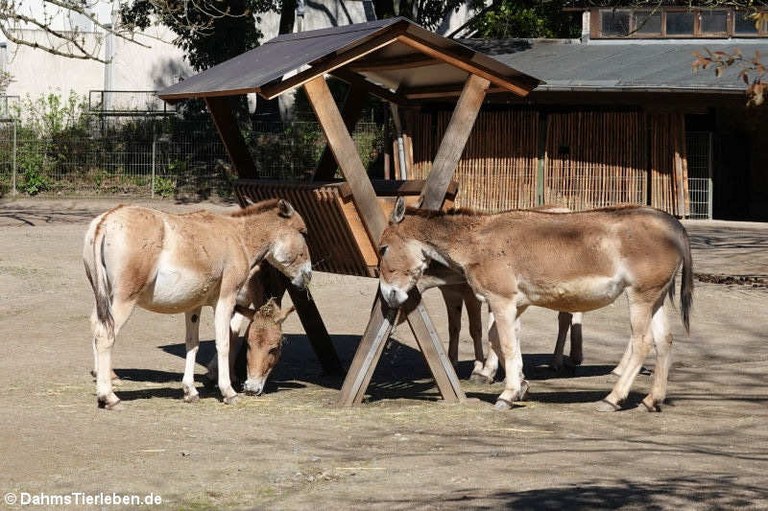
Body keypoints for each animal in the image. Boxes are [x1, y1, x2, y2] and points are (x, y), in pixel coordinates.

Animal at [82, 200, 310, 412]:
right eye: (303, 232)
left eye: (274, 347)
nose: (307, 275)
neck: (238, 238)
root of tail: (106, 220)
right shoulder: (227, 299)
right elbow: (225, 342)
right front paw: (228, 392)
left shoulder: (194, 305)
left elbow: (192, 344)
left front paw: (190, 391)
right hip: (124, 300)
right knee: (105, 336)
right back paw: (109, 396)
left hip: (104, 297)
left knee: (95, 326)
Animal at [380, 198, 692, 414]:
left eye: (382, 248)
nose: (388, 296)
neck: (477, 242)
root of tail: (672, 223)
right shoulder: (514, 303)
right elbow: (500, 340)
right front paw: (520, 386)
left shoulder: (501, 300)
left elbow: (505, 343)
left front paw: (507, 395)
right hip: (656, 297)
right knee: (665, 341)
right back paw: (651, 400)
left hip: (640, 296)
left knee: (642, 342)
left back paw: (612, 399)